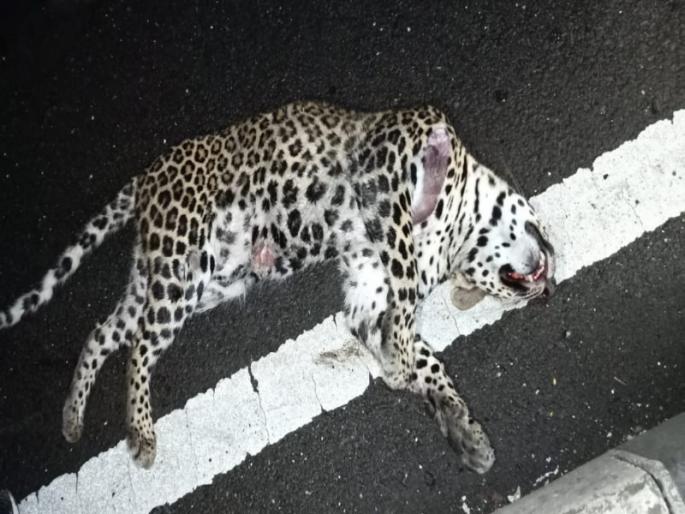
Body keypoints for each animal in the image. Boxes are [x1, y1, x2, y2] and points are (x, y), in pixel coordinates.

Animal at [0, 101, 556, 474]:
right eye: (517, 293)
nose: (547, 292)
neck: (458, 223)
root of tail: (147, 178)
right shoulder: (388, 171)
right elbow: (403, 298)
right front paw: (399, 366)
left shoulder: (366, 293)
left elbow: (424, 359)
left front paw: (462, 430)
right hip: (180, 267)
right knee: (137, 349)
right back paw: (140, 434)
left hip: (179, 280)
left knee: (103, 332)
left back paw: (72, 418)